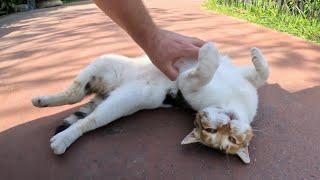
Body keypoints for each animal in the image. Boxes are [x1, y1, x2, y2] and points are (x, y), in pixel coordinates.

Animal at [32, 43, 268, 164]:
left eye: (230, 139)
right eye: (211, 130)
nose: (226, 124)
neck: (232, 102)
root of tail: (112, 90)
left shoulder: (187, 86)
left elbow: (206, 71)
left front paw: (210, 53)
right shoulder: (243, 77)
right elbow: (263, 74)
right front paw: (257, 55)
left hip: (121, 103)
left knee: (88, 120)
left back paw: (62, 139)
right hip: (104, 64)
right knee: (73, 93)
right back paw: (41, 100)